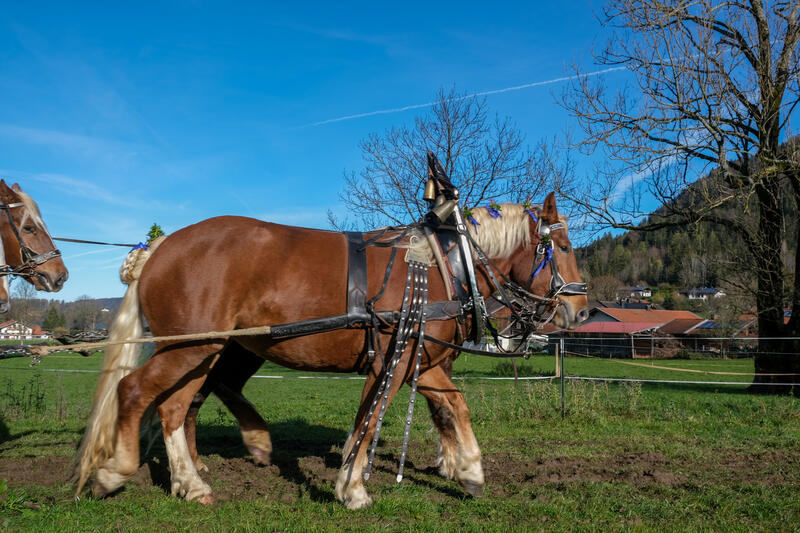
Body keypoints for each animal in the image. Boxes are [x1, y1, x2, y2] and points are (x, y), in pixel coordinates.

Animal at [75, 191, 588, 508]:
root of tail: (160, 247)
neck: (442, 265)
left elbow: (453, 406)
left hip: (204, 350)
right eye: (562, 246)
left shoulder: (421, 360)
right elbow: (370, 420)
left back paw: (193, 480)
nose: (581, 310)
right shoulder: (395, 360)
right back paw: (117, 471)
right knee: (136, 392)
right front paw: (352, 488)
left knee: (177, 407)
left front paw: (470, 471)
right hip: (193, 348)